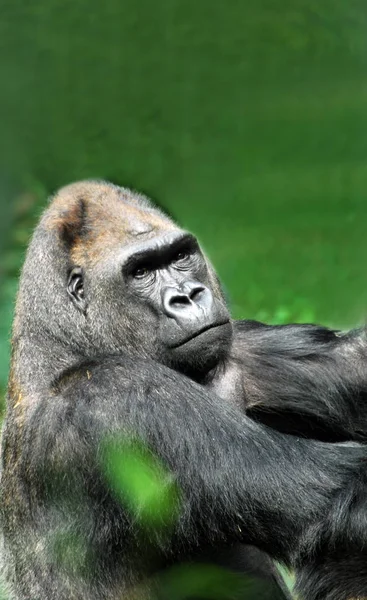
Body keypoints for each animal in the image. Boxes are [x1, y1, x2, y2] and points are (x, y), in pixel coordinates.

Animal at [0, 179, 367, 600]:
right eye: (141, 271)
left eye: (179, 256)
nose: (189, 296)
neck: (65, 347)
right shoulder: (121, 395)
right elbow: (342, 495)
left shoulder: (238, 344)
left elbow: (352, 362)